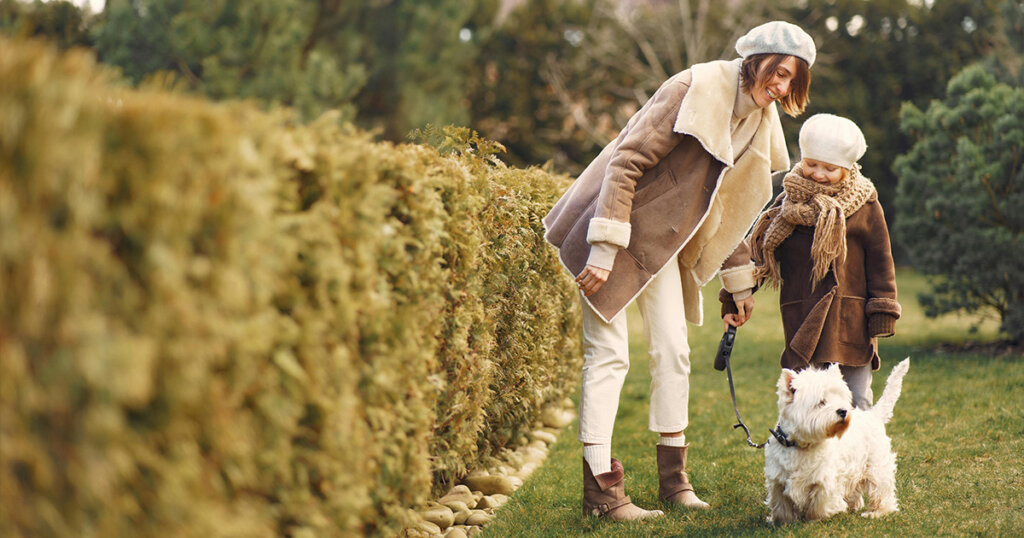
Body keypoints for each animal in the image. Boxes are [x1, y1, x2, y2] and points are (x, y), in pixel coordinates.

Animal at [765, 358, 909, 522]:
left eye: (840, 398)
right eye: (821, 402)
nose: (843, 411)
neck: (800, 445)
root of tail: (873, 415)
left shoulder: (824, 481)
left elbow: (819, 503)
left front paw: (815, 519)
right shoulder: (777, 481)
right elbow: (781, 505)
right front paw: (782, 521)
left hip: (876, 465)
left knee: (881, 489)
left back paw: (877, 512)